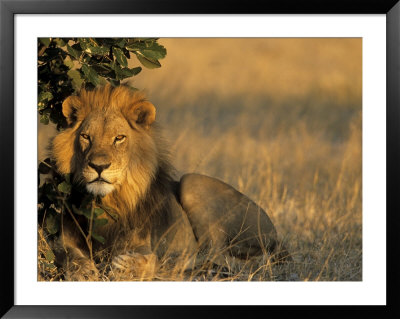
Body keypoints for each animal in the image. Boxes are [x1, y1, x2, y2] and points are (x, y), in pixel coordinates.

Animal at [49, 84, 290, 282]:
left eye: (119, 138)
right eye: (86, 137)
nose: (99, 166)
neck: (106, 202)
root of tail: (276, 235)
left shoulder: (142, 242)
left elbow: (148, 259)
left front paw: (127, 265)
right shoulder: (65, 237)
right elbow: (67, 254)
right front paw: (83, 271)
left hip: (193, 183)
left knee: (216, 256)